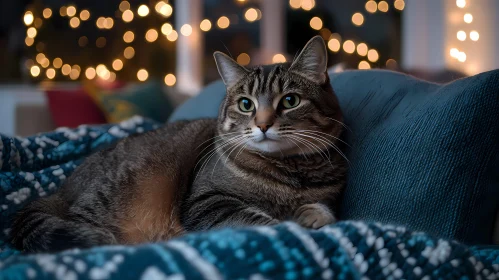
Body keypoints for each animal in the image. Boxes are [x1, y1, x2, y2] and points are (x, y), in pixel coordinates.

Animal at [10, 36, 348, 253]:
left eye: (290, 101)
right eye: (246, 104)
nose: (263, 125)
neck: (289, 173)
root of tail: (61, 190)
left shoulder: (328, 195)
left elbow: (323, 207)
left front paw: (311, 215)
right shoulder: (206, 201)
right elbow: (262, 220)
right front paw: (290, 223)